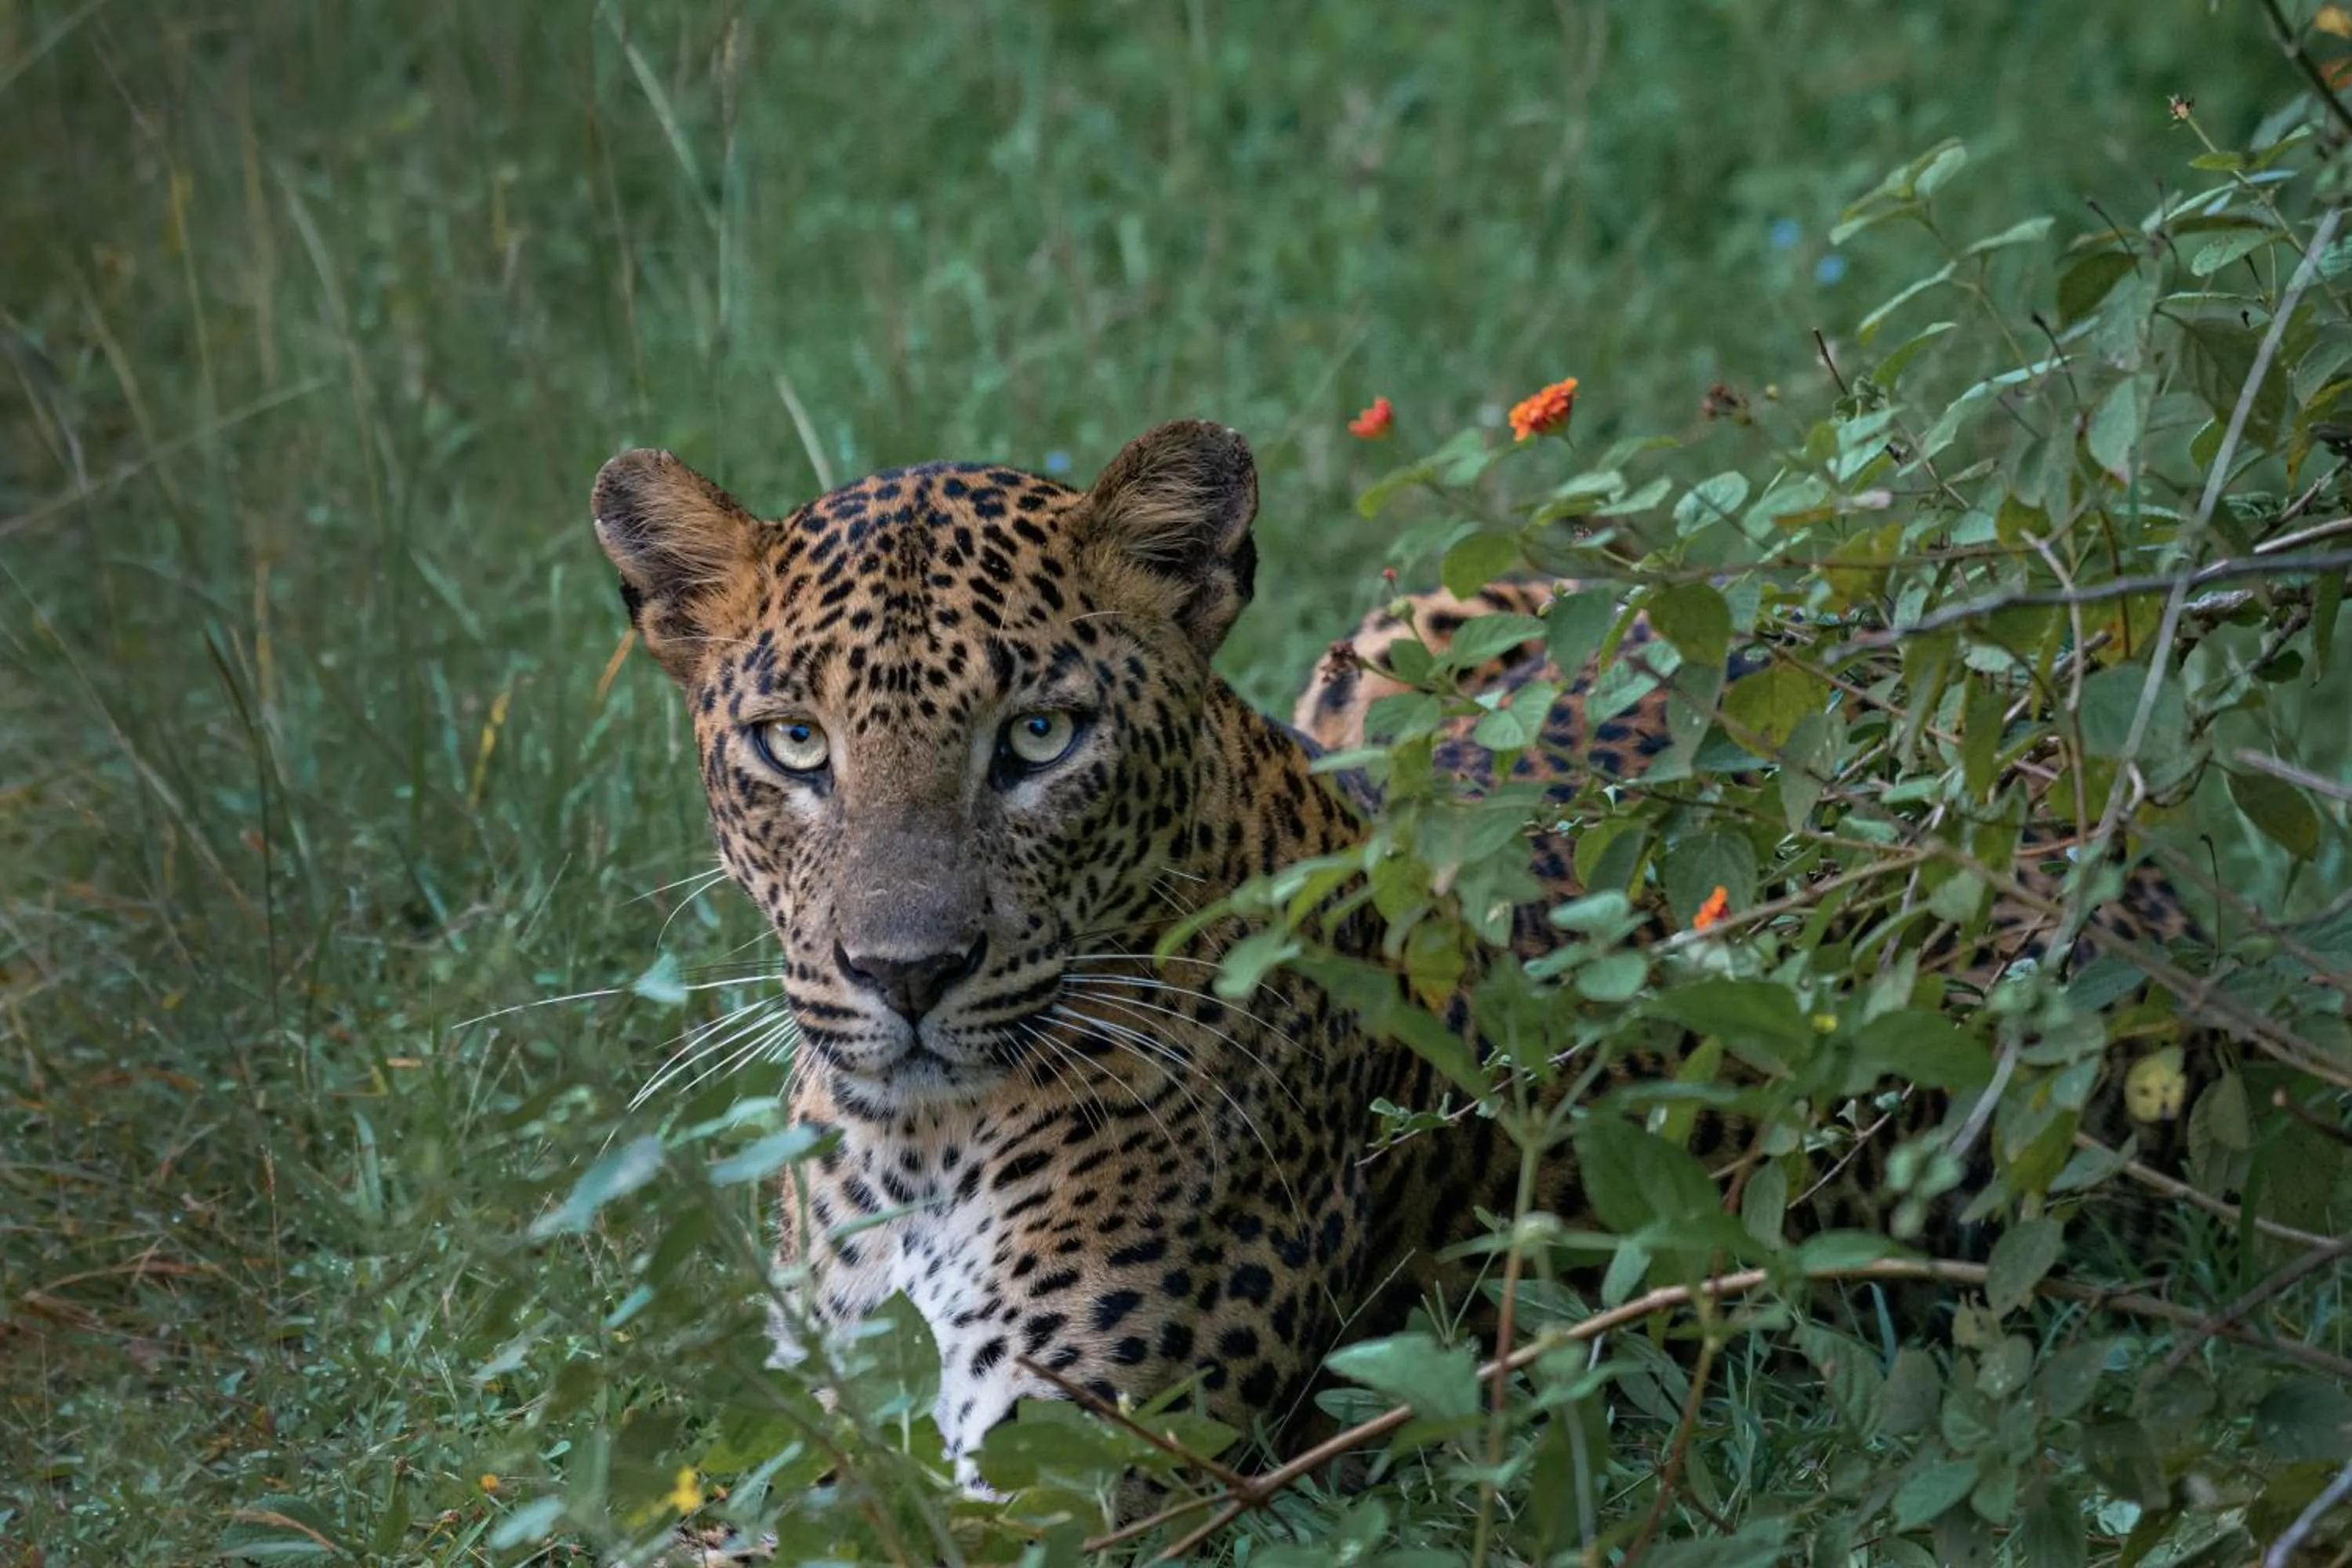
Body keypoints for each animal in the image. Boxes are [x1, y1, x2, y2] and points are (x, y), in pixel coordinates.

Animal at [590, 418, 2209, 1508]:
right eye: (796, 745)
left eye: (1039, 738)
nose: (906, 974)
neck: (916, 1148)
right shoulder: (812, 1427)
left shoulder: (1060, 1470)